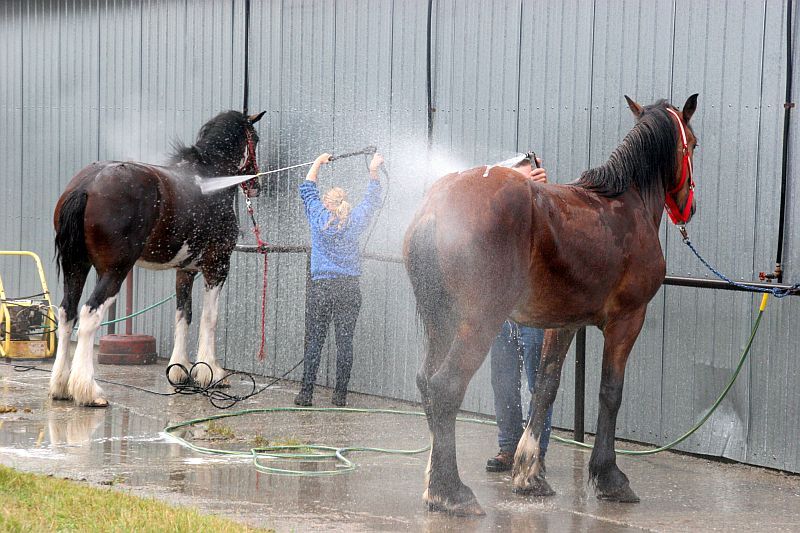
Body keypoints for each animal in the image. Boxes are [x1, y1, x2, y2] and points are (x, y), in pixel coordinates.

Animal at [51, 109, 266, 407]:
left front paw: (180, 371)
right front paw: (210, 373)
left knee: (67, 313)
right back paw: (89, 391)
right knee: (89, 314)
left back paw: (61, 386)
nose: (257, 185)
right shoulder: (217, 265)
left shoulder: (185, 270)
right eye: (254, 139)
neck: (209, 176)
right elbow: (209, 317)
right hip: (114, 270)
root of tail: (87, 185)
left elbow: (184, 315)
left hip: (76, 267)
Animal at [403, 94, 698, 515]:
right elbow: (611, 392)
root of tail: (437, 206)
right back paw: (451, 492)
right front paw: (609, 477)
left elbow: (545, 386)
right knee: (445, 387)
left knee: (427, 383)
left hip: (440, 322)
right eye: (693, 144)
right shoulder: (627, 320)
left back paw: (436, 482)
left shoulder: (564, 323)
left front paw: (529, 474)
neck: (626, 203)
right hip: (478, 323)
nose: (689, 206)